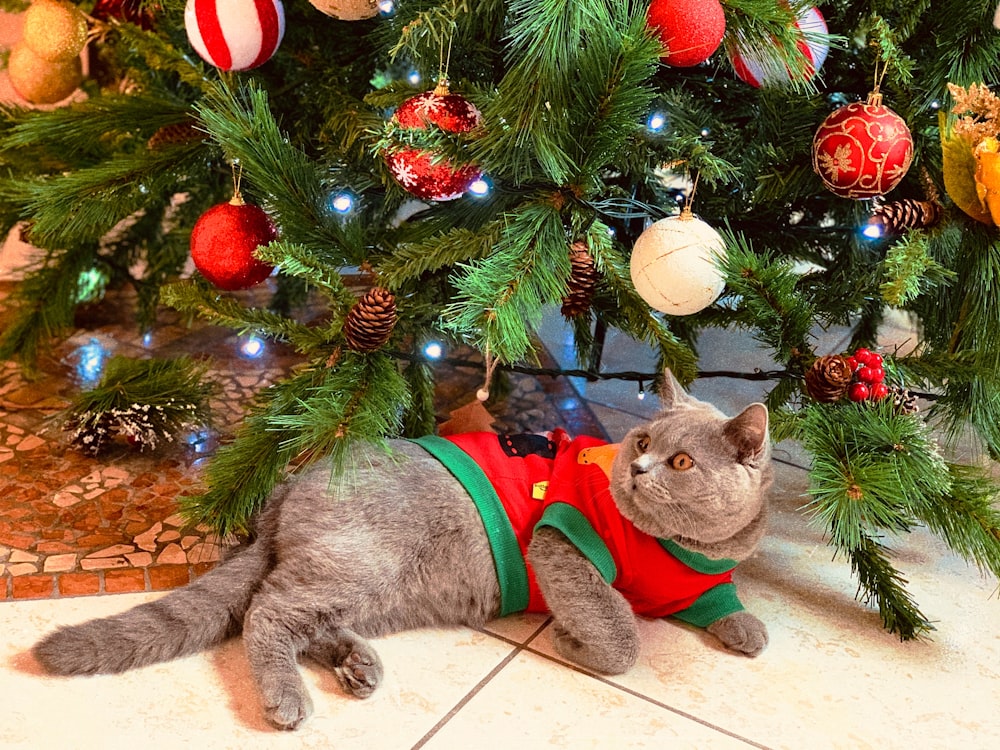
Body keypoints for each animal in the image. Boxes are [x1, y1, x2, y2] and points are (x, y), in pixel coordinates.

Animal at [29, 374, 764, 732]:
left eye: (679, 461)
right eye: (640, 440)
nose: (635, 470)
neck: (677, 546)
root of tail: (291, 484)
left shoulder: (703, 580)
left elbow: (722, 600)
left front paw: (746, 630)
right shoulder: (563, 540)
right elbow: (618, 632)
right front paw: (576, 643)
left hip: (382, 589)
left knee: (296, 618)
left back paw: (355, 665)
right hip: (360, 564)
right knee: (265, 613)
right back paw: (289, 698)